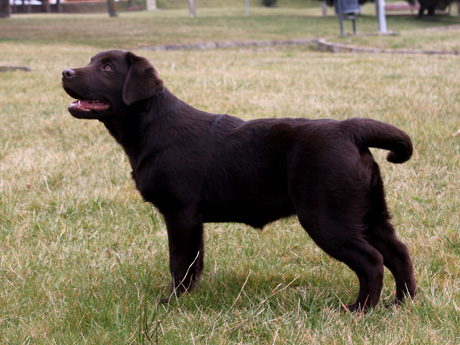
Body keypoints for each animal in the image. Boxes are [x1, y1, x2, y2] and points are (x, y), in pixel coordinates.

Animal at [62, 49, 416, 310]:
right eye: (92, 61)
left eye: (107, 67)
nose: (65, 72)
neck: (152, 126)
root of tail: (349, 130)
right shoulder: (194, 220)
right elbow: (194, 263)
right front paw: (187, 297)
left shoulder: (180, 214)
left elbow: (180, 262)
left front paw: (171, 302)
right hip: (369, 214)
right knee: (398, 252)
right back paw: (402, 303)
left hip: (327, 219)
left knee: (372, 260)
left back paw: (360, 309)